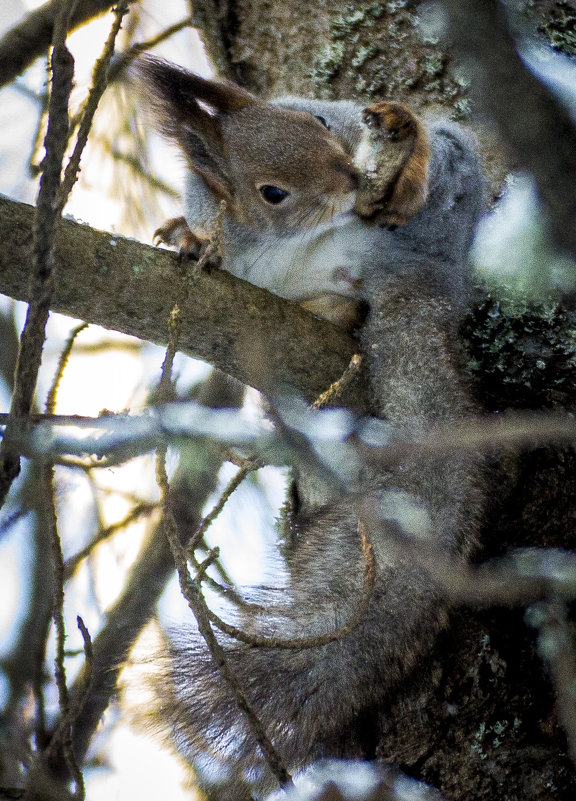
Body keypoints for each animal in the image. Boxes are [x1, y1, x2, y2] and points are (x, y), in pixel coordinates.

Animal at [134, 54, 486, 792]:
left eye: (320, 121)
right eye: (271, 192)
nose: (350, 180)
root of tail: (417, 274)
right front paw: (188, 236)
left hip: (437, 199)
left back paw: (401, 174)